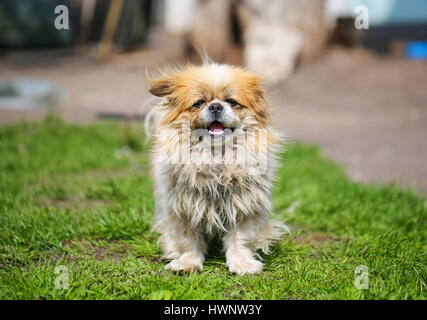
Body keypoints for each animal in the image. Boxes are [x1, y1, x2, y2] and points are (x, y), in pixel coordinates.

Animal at [145, 62, 290, 276]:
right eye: (198, 103)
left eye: (231, 101)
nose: (215, 106)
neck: (215, 157)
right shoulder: (184, 208)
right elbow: (188, 241)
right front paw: (187, 263)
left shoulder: (243, 207)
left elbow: (240, 240)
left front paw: (242, 264)